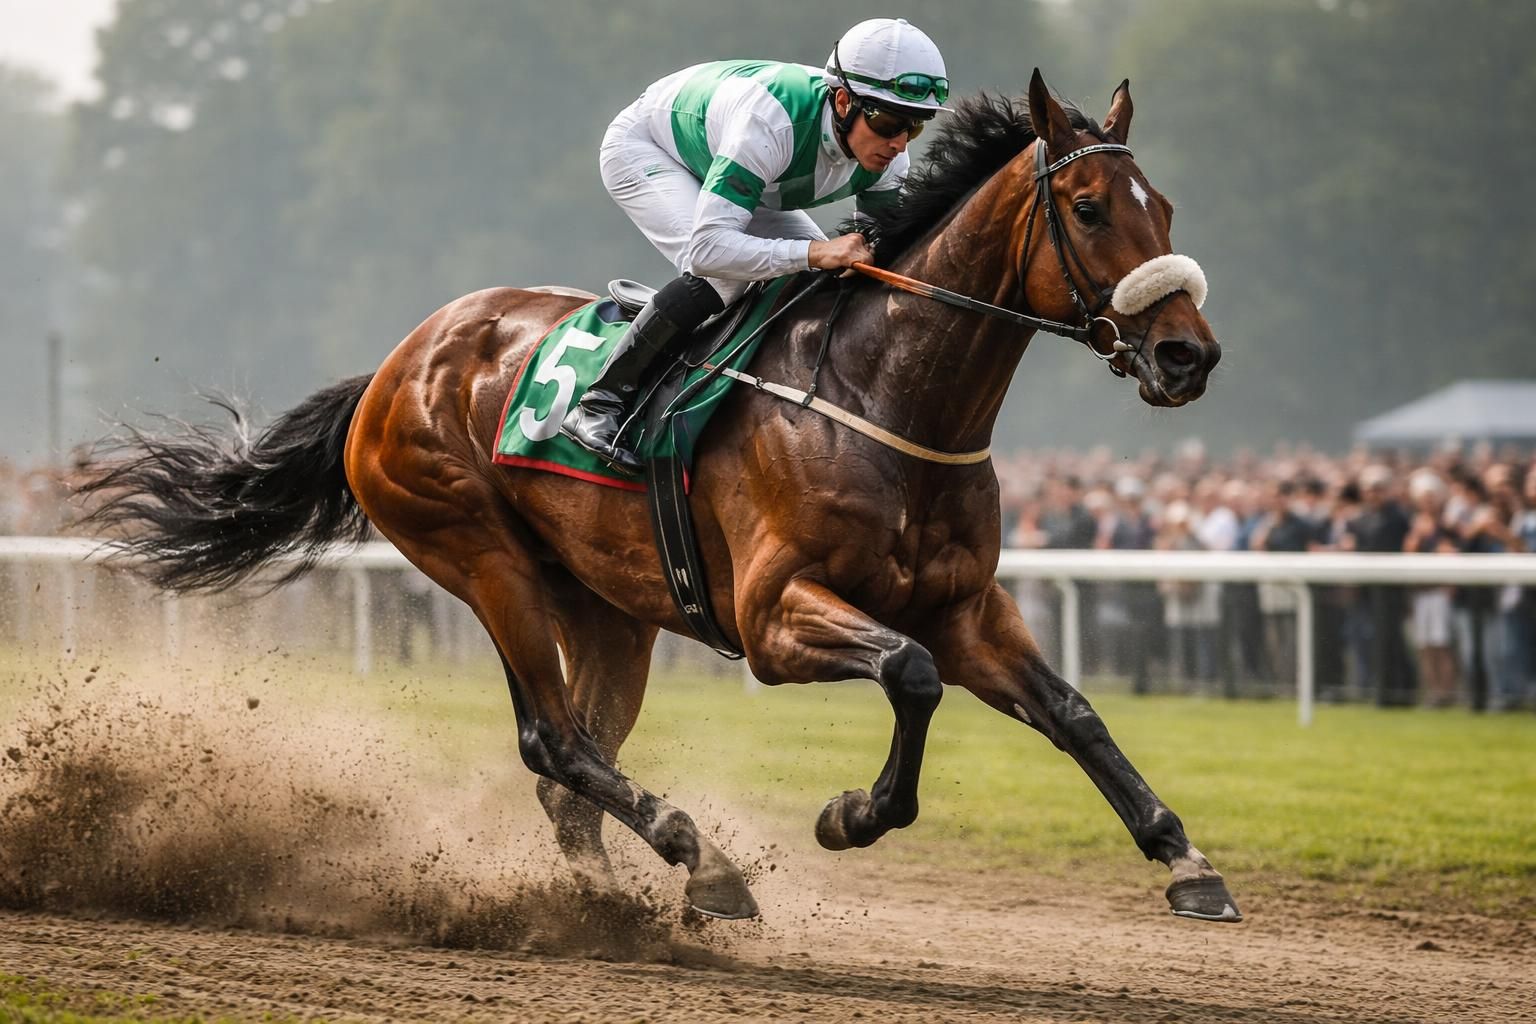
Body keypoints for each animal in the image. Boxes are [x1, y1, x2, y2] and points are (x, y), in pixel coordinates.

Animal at [79, 71, 1238, 923]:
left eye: (1167, 207)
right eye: (1088, 207)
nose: (1189, 355)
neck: (881, 394)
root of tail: (392, 367)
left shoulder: (966, 608)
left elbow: (1073, 711)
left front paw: (1186, 860)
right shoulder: (774, 618)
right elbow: (910, 676)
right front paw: (850, 814)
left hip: (607, 607)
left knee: (572, 770)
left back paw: (612, 905)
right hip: (481, 556)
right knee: (553, 743)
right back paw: (703, 861)